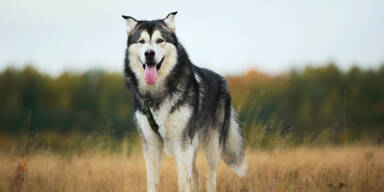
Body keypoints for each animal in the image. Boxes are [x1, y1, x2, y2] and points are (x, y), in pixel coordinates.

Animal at [121, 12, 244, 192]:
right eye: (141, 41)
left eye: (160, 40)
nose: (149, 53)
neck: (158, 94)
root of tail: (223, 80)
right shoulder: (151, 145)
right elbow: (153, 182)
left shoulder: (182, 143)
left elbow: (183, 181)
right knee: (196, 174)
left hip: (211, 147)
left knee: (210, 176)